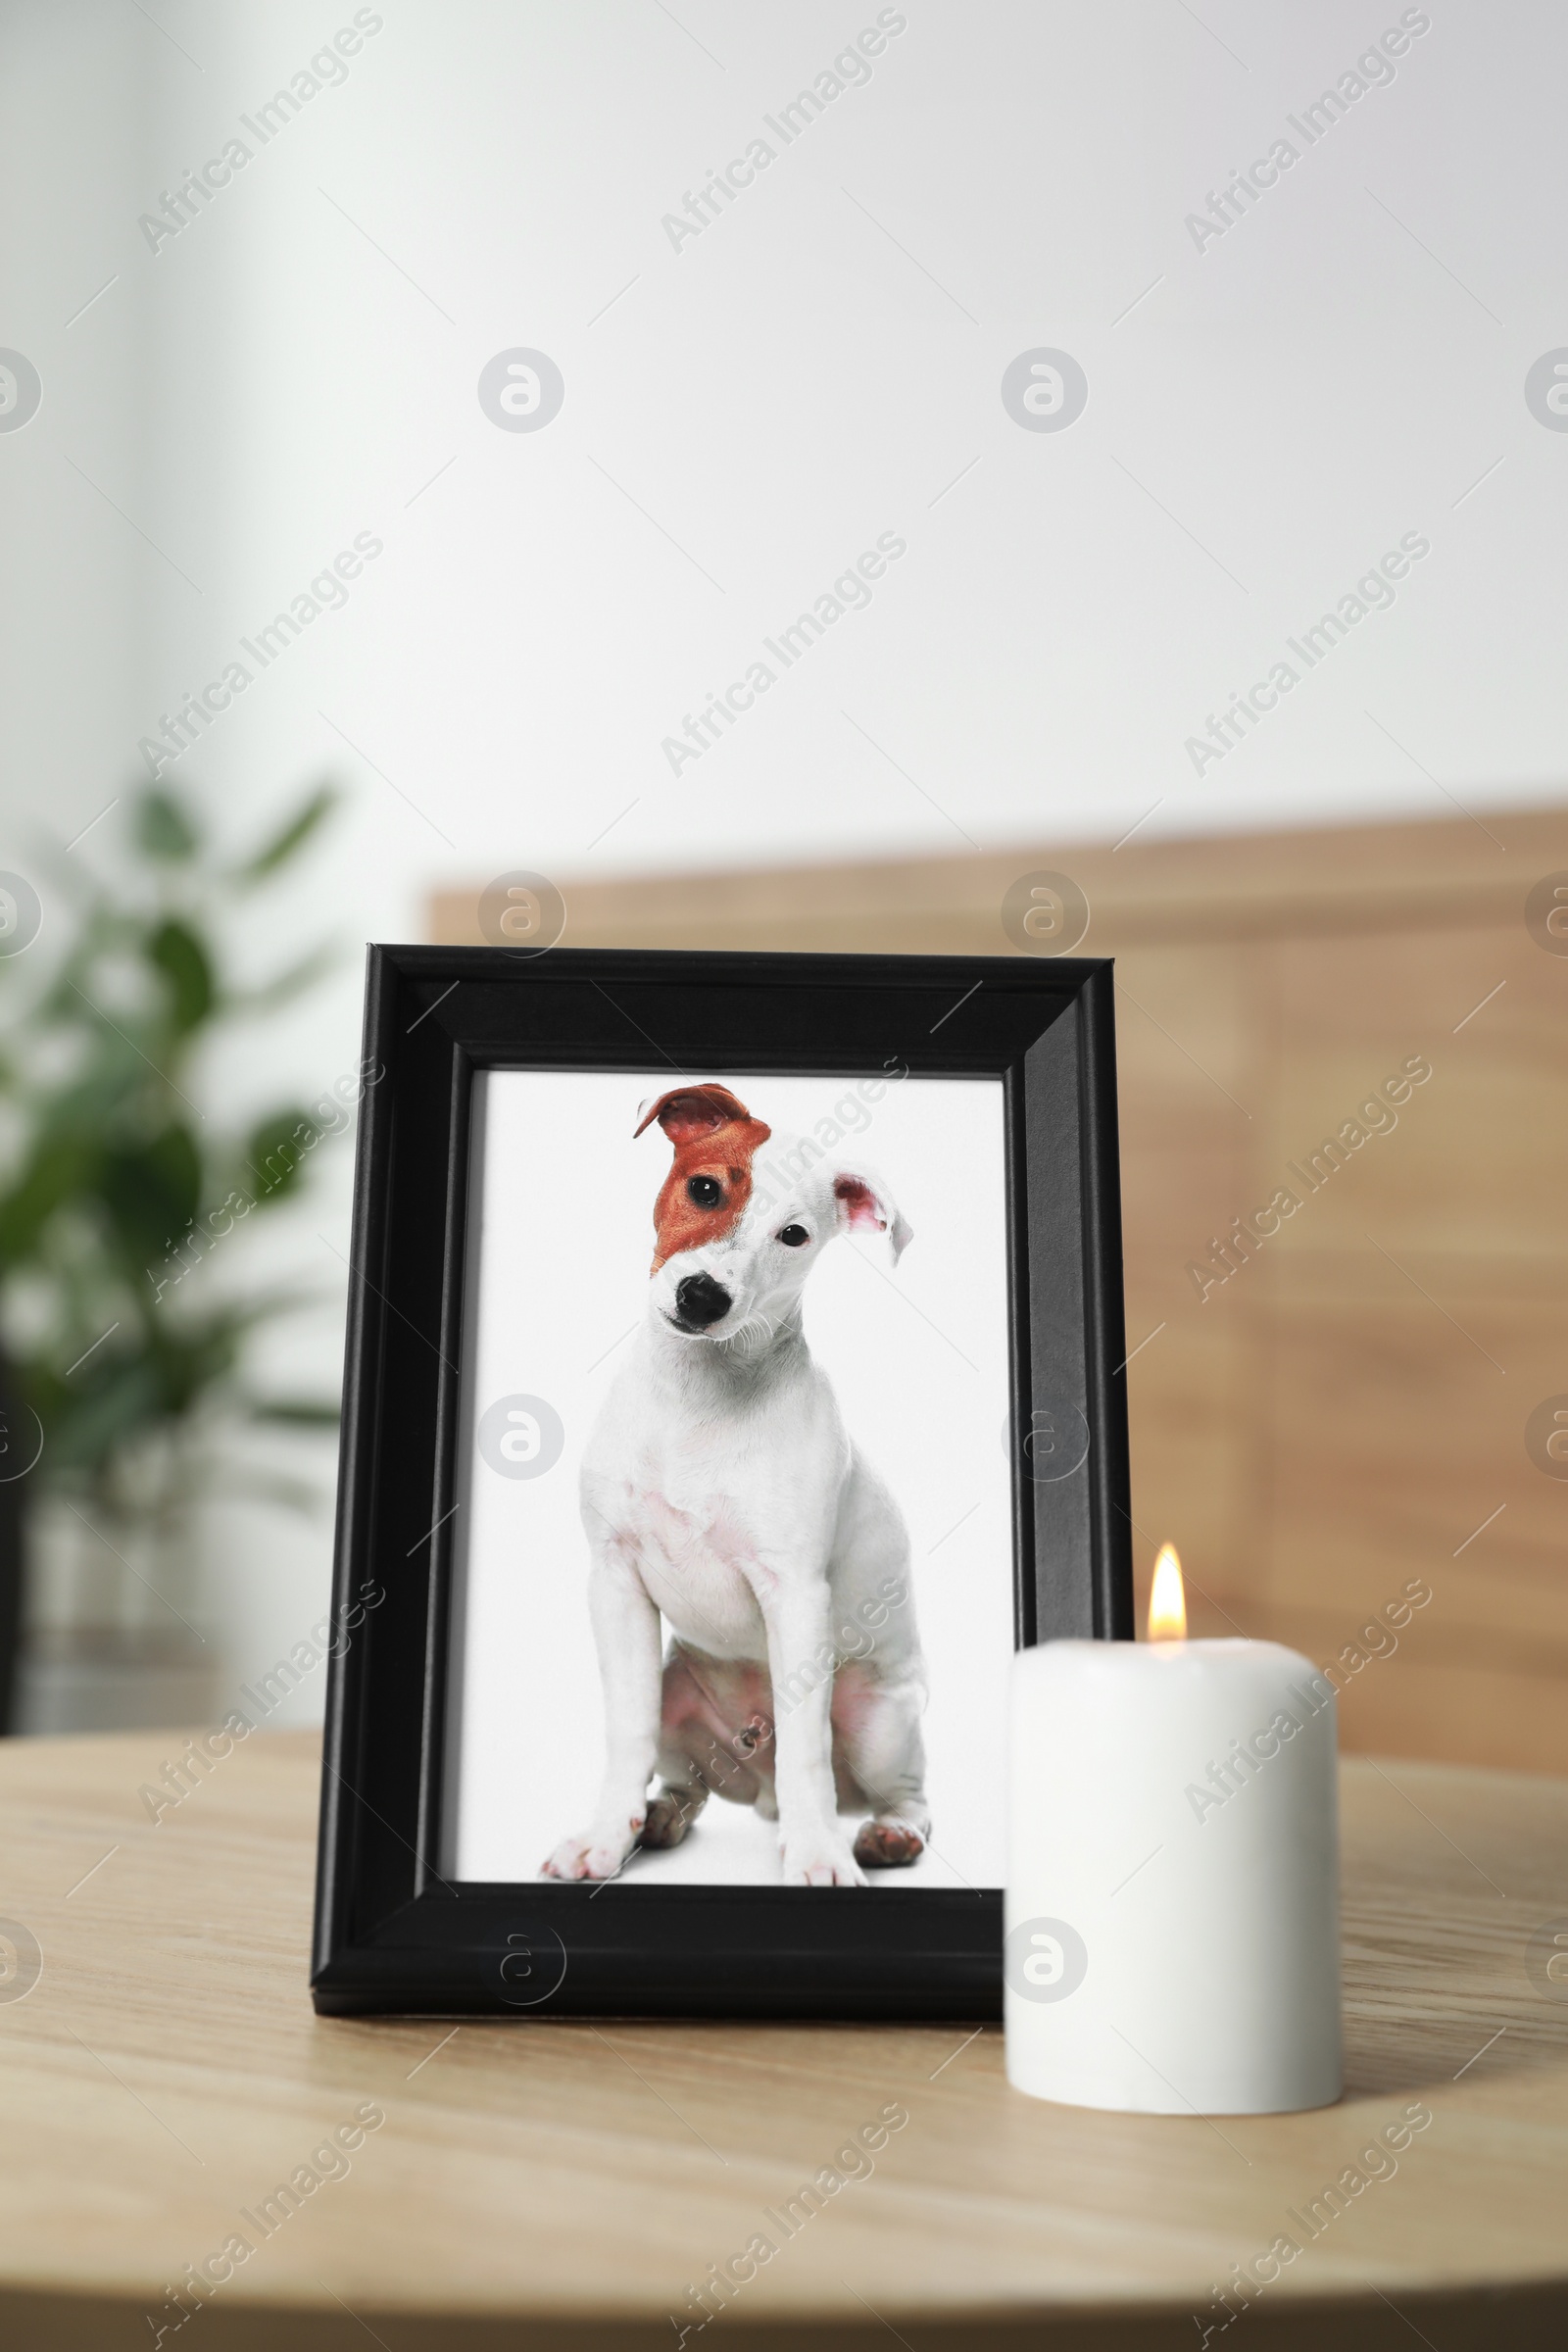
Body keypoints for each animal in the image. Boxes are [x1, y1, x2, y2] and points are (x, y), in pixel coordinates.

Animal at [543, 1086, 930, 1890]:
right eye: (704, 1188)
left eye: (794, 1235)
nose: (702, 1296)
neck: (698, 1401)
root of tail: (757, 1789)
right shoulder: (615, 1584)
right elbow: (624, 1733)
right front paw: (603, 1838)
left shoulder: (797, 1597)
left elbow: (808, 1753)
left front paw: (818, 1857)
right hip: (677, 1697)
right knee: (685, 1781)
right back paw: (657, 1819)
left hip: (881, 1722)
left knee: (903, 1792)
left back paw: (886, 1835)